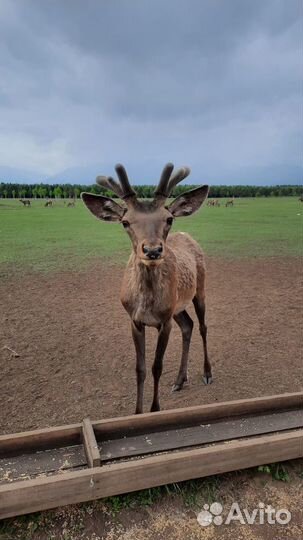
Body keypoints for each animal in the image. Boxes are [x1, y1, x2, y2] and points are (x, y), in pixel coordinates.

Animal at [82, 163, 213, 414]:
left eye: (169, 219)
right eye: (125, 222)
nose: (152, 250)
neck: (147, 304)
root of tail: (188, 236)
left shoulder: (165, 321)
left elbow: (156, 366)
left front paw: (155, 409)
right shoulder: (135, 320)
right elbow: (140, 368)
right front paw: (137, 411)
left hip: (200, 287)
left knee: (202, 326)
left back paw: (207, 373)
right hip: (177, 306)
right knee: (188, 326)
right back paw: (180, 380)